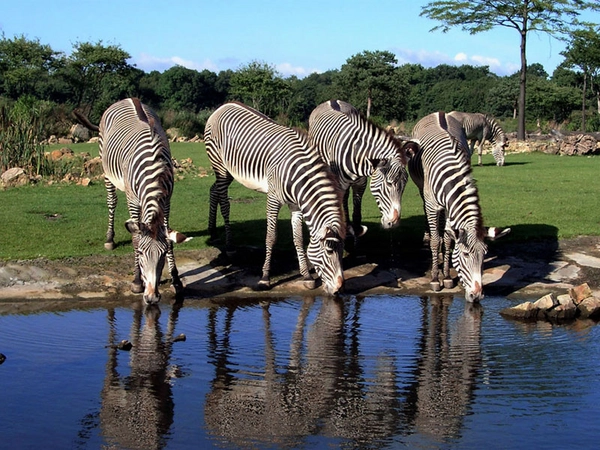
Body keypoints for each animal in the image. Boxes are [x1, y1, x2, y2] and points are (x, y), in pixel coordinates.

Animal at [75, 96, 188, 304]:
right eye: (142, 253)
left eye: (162, 256)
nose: (152, 298)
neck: (154, 169)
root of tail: (127, 98)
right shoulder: (133, 201)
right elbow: (136, 238)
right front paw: (136, 281)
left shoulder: (167, 201)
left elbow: (168, 238)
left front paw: (176, 279)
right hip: (106, 171)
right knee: (112, 202)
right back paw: (109, 239)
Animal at [203, 102, 344, 296]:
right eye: (329, 251)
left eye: (341, 250)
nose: (338, 288)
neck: (296, 176)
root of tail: (223, 106)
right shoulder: (273, 199)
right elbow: (271, 237)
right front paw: (265, 278)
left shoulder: (296, 205)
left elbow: (298, 238)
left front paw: (306, 276)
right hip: (220, 166)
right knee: (224, 202)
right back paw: (229, 245)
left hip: (228, 171)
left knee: (213, 190)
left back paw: (212, 231)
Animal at [310, 99, 418, 239]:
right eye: (389, 184)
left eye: (404, 185)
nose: (393, 223)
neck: (356, 157)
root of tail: (331, 100)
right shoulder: (339, 184)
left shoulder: (361, 183)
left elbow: (357, 212)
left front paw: (356, 230)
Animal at [408, 111, 488, 302]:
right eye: (466, 254)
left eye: (484, 256)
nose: (477, 295)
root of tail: (439, 113)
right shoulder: (432, 205)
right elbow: (436, 240)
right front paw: (435, 278)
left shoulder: (451, 209)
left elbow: (447, 239)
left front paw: (446, 277)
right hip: (423, 191)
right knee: (427, 216)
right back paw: (428, 236)